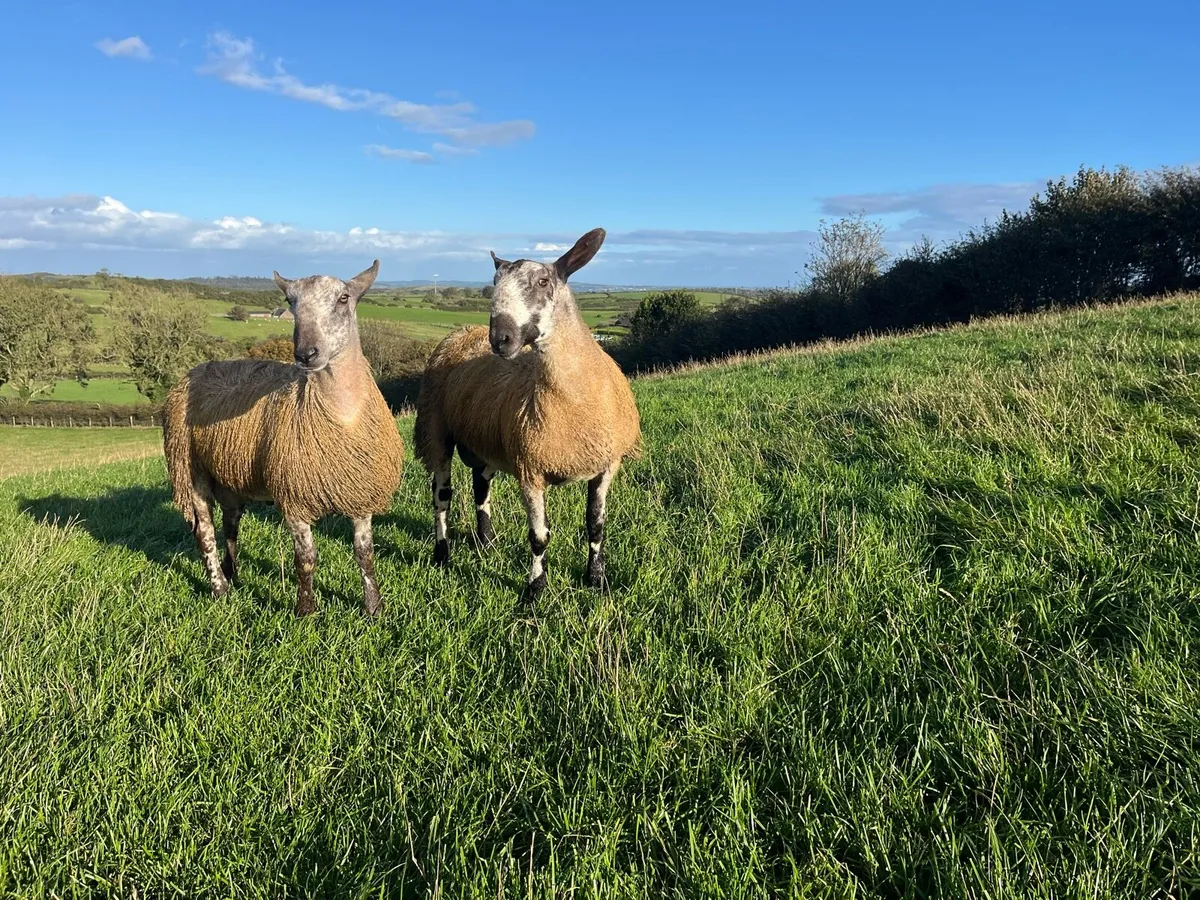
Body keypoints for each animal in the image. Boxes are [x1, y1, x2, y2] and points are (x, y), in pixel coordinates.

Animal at [162, 260, 404, 617]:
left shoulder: (359, 494)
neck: (339, 413)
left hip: (231, 478)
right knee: (204, 533)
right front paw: (306, 612)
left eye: (344, 298)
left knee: (230, 526)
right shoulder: (294, 499)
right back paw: (220, 590)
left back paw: (233, 575)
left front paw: (374, 608)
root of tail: (197, 369)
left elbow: (365, 555)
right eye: (290, 301)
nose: (306, 354)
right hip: (189, 467)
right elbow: (306, 559)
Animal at [414, 228, 641, 601]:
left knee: (481, 486)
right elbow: (539, 536)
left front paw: (596, 578)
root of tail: (462, 332)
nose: (501, 339)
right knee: (441, 495)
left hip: (486, 439)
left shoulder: (606, 464)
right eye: (494, 282)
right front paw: (536, 590)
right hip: (435, 428)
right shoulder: (530, 470)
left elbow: (596, 524)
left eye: (543, 281)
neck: (575, 401)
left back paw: (487, 542)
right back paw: (442, 554)